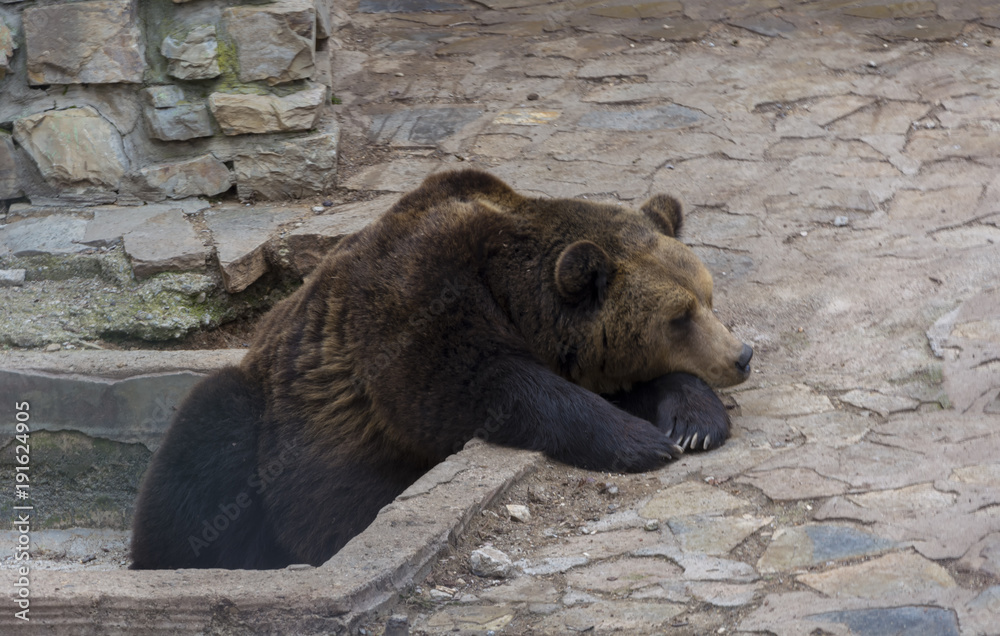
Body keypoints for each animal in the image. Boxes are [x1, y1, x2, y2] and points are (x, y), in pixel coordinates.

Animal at [130, 169, 753, 570]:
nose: (741, 355)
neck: (514, 298)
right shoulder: (416, 304)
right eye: (678, 317)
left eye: (706, 297)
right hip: (261, 421)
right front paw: (641, 442)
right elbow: (480, 386)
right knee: (210, 439)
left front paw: (692, 423)